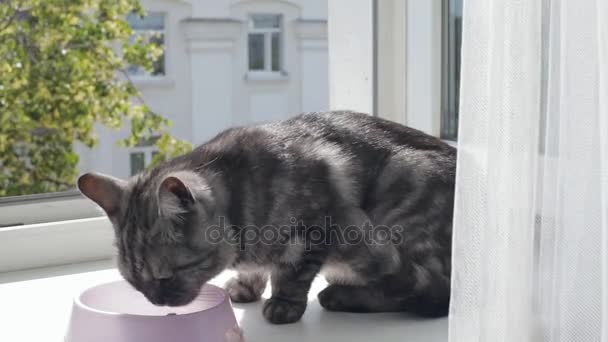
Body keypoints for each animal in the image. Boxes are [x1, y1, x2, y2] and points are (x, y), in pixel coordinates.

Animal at [77, 111, 456, 324]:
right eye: (133, 282)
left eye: (165, 277)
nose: (156, 302)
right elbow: (256, 270)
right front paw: (246, 287)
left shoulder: (314, 231)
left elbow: (291, 274)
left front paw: (283, 305)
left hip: (403, 187)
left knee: (431, 294)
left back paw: (342, 296)